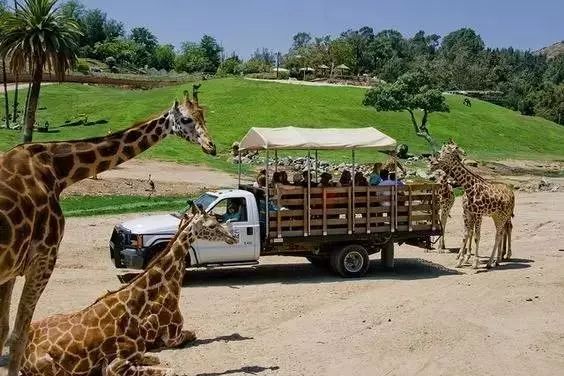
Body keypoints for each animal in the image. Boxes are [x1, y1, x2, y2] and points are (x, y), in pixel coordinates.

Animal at [0, 89, 216, 374]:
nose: (211, 146)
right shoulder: (43, 257)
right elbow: (17, 336)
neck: (58, 171)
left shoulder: (13, 269)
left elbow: (4, 331)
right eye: (187, 119)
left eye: (203, 115)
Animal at [20, 206, 238, 376]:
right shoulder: (116, 365)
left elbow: (156, 359)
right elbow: (172, 367)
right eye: (212, 225)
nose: (233, 237)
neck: (133, 307)